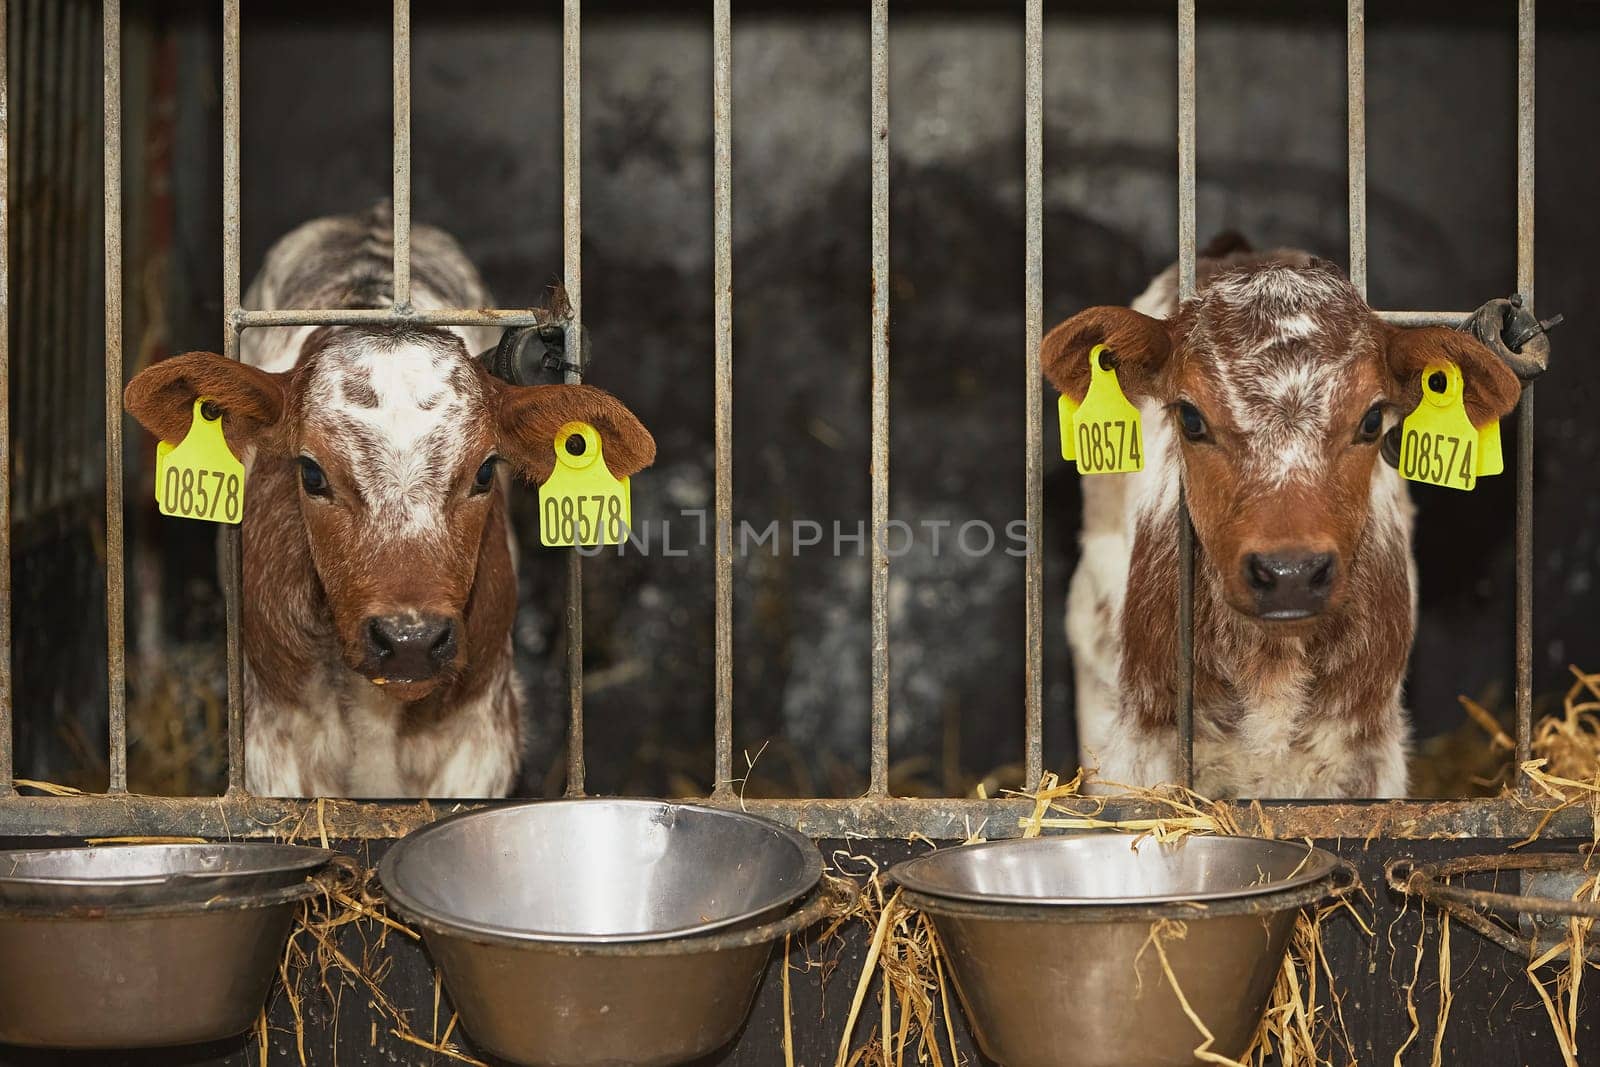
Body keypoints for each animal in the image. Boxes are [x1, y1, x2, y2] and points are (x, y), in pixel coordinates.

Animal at [1043, 238, 1516, 796]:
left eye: (1372, 419)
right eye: (1191, 418)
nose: (1290, 573)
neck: (1273, 665)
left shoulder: (1370, 752)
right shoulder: (1142, 743)